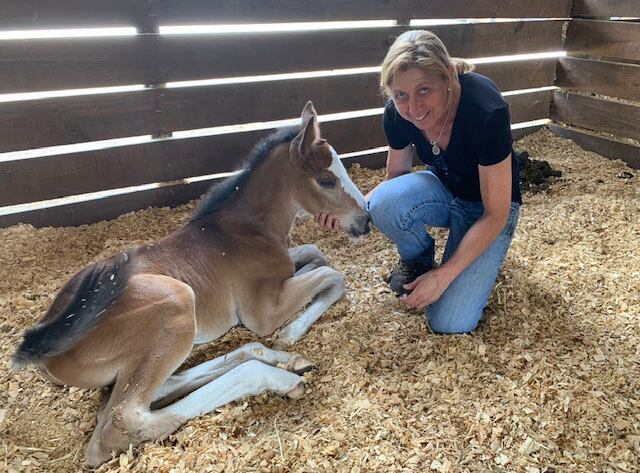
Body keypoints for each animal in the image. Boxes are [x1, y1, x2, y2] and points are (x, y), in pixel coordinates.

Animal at [12, 101, 370, 466]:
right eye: (326, 180)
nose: (366, 220)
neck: (246, 230)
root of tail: (47, 339)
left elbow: (317, 255)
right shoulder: (262, 311)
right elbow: (332, 274)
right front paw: (291, 332)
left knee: (164, 386)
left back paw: (284, 360)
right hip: (178, 301)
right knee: (119, 424)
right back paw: (277, 375)